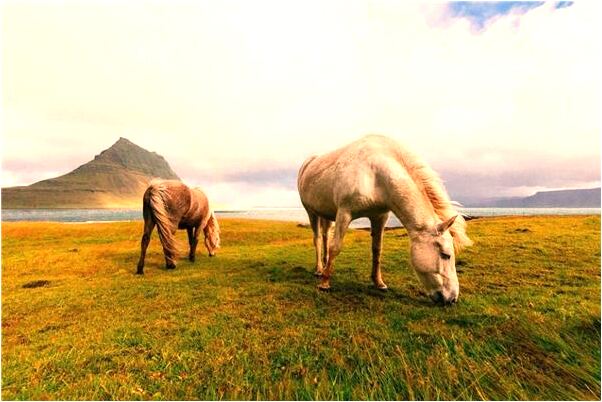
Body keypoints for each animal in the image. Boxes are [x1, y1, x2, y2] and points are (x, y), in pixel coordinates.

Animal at [298, 135, 472, 304]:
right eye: (445, 255)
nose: (452, 299)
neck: (375, 174)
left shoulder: (379, 217)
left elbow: (377, 250)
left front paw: (378, 282)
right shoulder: (344, 213)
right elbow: (335, 247)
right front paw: (325, 283)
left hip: (326, 214)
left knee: (325, 236)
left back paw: (325, 264)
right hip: (311, 212)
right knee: (318, 239)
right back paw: (320, 270)